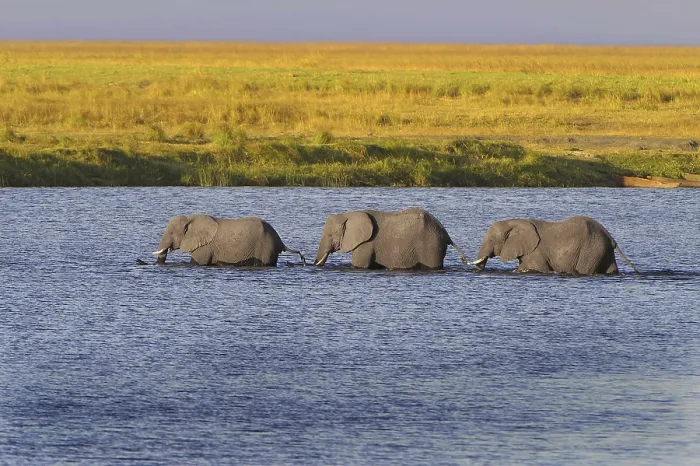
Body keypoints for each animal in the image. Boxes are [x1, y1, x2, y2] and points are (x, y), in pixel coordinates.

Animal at [153, 214, 306, 266]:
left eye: (172, 233)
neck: (190, 217)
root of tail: (280, 241)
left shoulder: (205, 247)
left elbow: (196, 262)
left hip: (266, 248)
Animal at [314, 208, 468, 270]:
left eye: (330, 236)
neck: (349, 214)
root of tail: (446, 234)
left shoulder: (366, 244)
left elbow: (358, 264)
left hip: (431, 246)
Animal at [468, 216, 637, 275]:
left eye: (491, 240)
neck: (514, 221)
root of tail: (609, 236)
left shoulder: (535, 252)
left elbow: (536, 268)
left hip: (591, 249)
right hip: (602, 249)